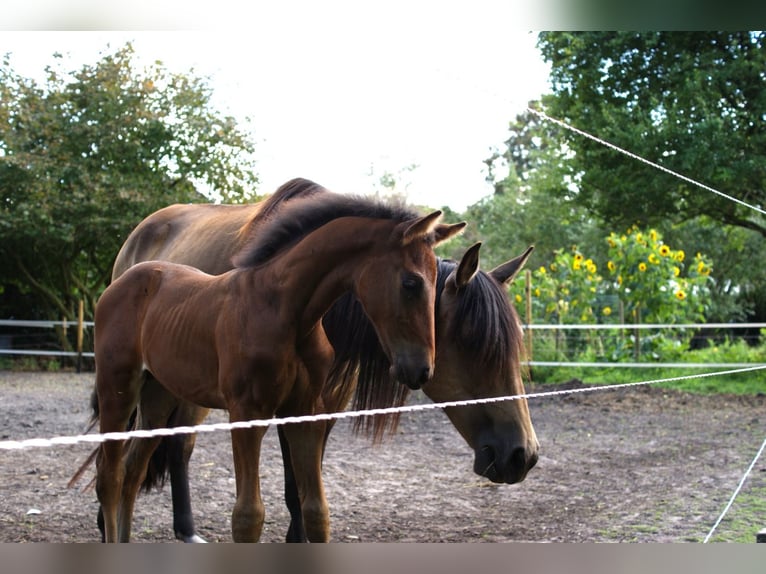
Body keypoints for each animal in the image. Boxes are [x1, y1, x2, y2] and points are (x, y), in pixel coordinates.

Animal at [84, 178, 539, 542]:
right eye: (411, 283)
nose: (523, 455)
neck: (286, 309)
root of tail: (127, 276)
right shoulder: (248, 412)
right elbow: (249, 515)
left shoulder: (309, 409)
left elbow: (314, 509)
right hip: (119, 388)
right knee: (112, 474)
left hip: (159, 394)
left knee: (133, 470)